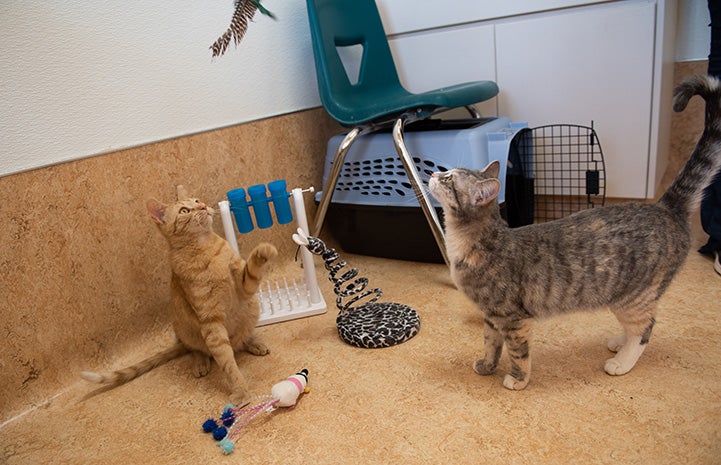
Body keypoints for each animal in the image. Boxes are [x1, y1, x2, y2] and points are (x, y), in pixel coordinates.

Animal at [428, 75, 720, 388]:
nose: (433, 173)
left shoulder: (514, 319)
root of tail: (665, 207)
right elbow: (490, 344)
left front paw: (518, 380)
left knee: (645, 329)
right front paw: (486, 366)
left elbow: (518, 353)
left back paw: (622, 362)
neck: (475, 243)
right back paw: (619, 343)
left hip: (634, 297)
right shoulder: (492, 317)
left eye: (448, 180)